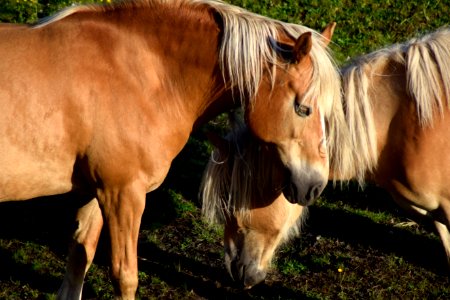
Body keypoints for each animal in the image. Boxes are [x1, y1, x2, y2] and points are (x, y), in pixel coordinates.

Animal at [0, 0, 342, 298]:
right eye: (303, 108)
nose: (315, 186)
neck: (142, 76)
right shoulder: (124, 194)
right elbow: (124, 276)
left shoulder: (98, 192)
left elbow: (79, 256)